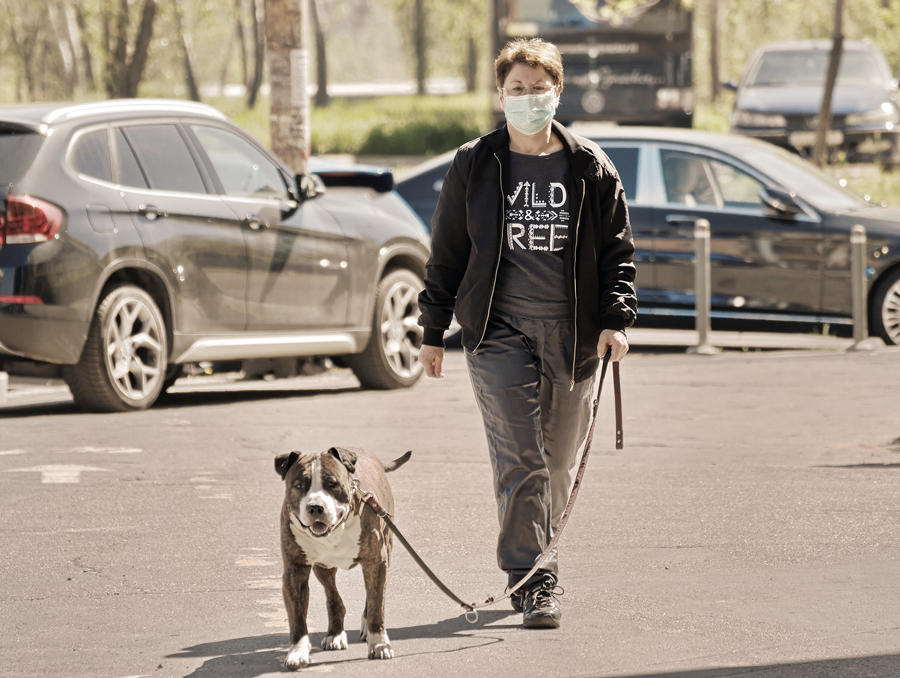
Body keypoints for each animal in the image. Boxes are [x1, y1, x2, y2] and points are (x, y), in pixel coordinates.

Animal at [274, 448, 412, 672]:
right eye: (298, 485)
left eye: (332, 483)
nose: (315, 507)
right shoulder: (295, 570)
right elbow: (297, 617)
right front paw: (297, 652)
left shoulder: (376, 562)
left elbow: (377, 605)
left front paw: (379, 644)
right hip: (323, 567)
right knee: (333, 596)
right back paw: (335, 634)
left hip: (386, 549)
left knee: (370, 597)